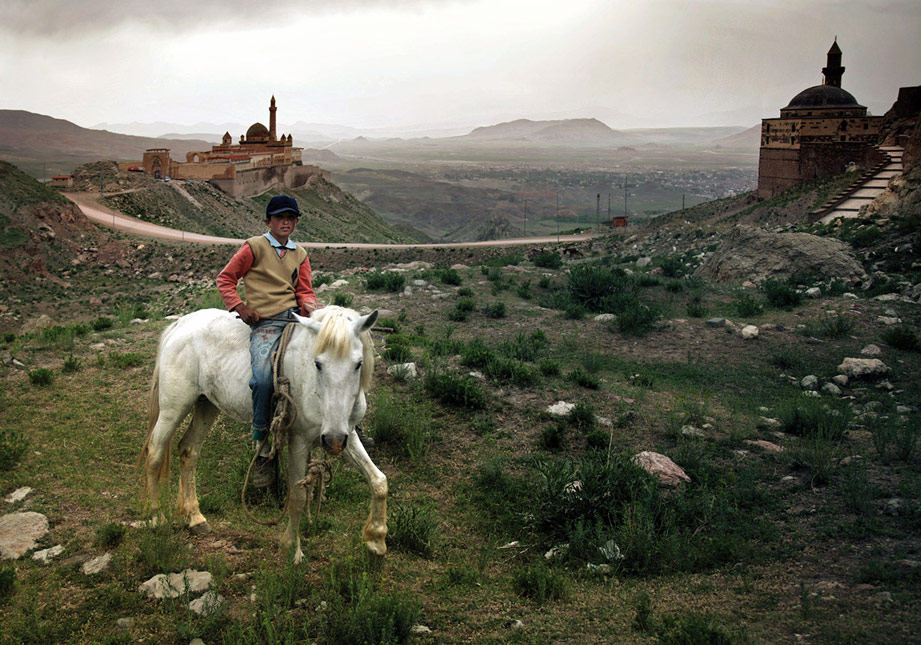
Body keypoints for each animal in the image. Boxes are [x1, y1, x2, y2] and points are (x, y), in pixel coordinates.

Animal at [138, 304, 386, 560]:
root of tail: (179, 325)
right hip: (173, 408)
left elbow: (379, 481)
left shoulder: (345, 434)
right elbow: (297, 496)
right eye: (317, 364)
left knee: (188, 451)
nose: (334, 442)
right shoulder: (299, 441)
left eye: (358, 364)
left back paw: (195, 518)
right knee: (155, 452)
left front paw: (376, 541)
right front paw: (292, 548)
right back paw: (157, 517)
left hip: (206, 405)